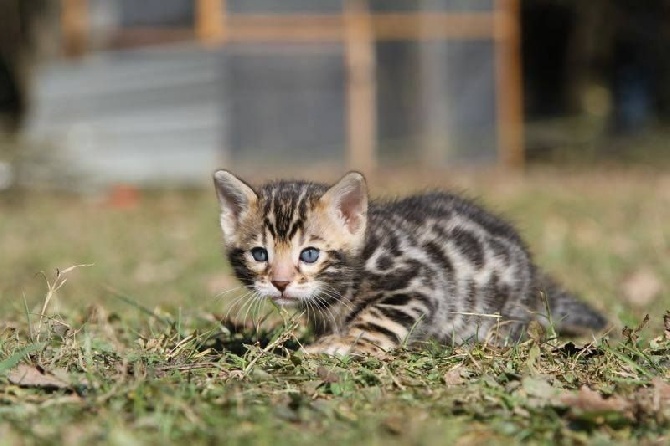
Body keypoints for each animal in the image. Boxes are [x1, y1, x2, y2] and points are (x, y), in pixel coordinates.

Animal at [215, 170, 608, 356]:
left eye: (309, 254)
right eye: (260, 254)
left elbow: (378, 318)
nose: (280, 282)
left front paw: (344, 344)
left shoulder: (418, 281)